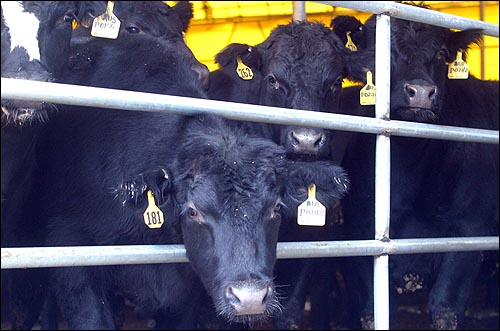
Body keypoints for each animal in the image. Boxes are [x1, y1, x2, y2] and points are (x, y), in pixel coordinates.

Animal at [330, 6, 498, 330]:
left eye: (442, 53)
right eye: (380, 50)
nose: (420, 92)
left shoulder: (468, 232)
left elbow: (444, 309)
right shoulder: (359, 234)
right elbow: (372, 310)